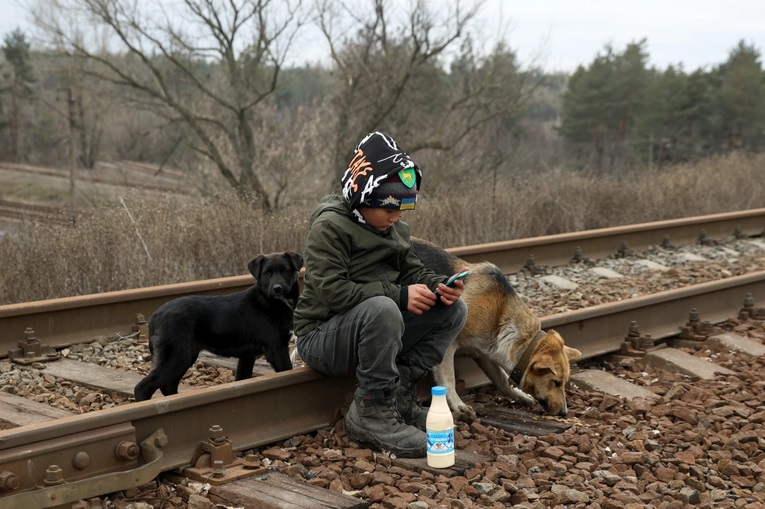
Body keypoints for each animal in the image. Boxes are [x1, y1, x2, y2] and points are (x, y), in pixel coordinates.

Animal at [133, 251, 302, 400]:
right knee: (142, 387)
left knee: (167, 387)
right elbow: (288, 371)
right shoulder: (277, 349)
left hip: (186, 357)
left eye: (285, 270)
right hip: (178, 357)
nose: (277, 288)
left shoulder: (247, 356)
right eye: (267, 273)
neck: (274, 302)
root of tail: (155, 316)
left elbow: (242, 381)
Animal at [412, 238, 580, 420]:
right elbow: (449, 380)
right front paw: (458, 405)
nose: (564, 413)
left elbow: (502, 381)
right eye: (556, 382)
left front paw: (519, 396)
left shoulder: (484, 354)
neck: (501, 318)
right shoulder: (448, 346)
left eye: (563, 383)